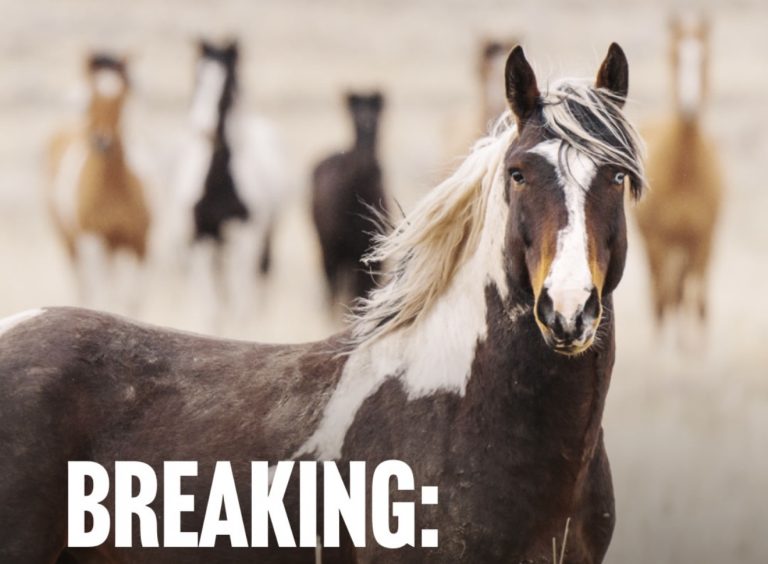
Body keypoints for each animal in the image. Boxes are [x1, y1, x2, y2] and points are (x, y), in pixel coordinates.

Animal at [47, 53, 150, 313]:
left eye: (122, 96)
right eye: (90, 97)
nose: (102, 142)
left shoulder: (140, 243)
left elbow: (132, 300)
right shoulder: (92, 241)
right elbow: (103, 296)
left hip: (113, 247)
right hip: (75, 245)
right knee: (87, 288)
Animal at [172, 38, 288, 332]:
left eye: (226, 84)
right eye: (197, 77)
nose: (204, 131)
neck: (217, 185)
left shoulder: (245, 240)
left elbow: (240, 308)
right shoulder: (201, 239)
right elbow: (212, 311)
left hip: (262, 238)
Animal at [311, 92, 388, 308]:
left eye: (377, 121)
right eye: (354, 121)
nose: (370, 166)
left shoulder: (372, 256)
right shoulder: (337, 252)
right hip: (328, 252)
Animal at [635, 14, 723, 344]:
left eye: (705, 58)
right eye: (674, 57)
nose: (689, 107)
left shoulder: (701, 239)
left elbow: (694, 298)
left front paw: (694, 348)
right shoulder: (659, 241)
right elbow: (664, 296)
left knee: (688, 295)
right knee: (663, 294)